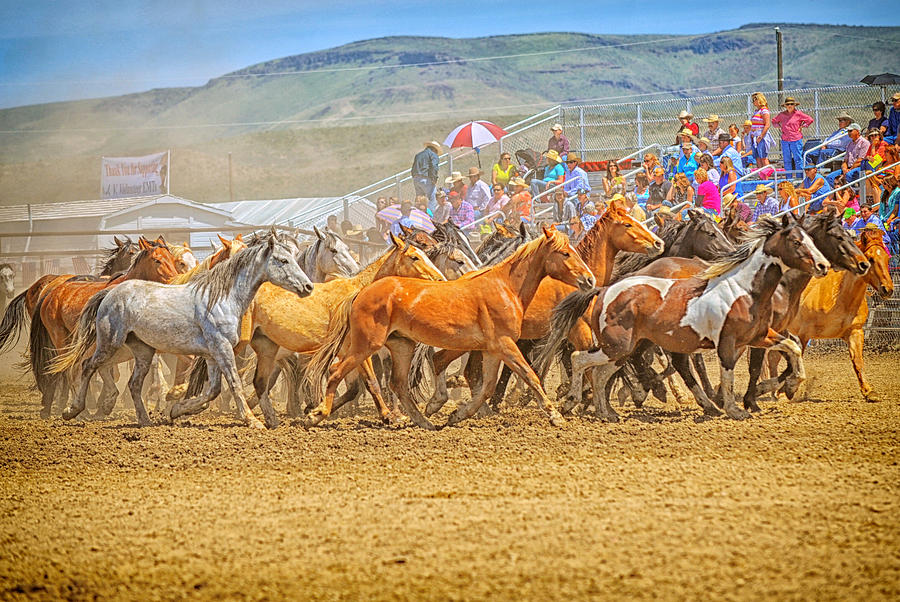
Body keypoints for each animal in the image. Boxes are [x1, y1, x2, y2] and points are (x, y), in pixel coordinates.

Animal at [28, 238, 180, 418]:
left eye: (172, 259)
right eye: (157, 260)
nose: (175, 280)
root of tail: (50, 292)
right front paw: (104, 404)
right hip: (60, 338)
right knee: (68, 369)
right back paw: (76, 410)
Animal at [51, 230, 315, 429]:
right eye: (283, 260)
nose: (308, 286)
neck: (221, 298)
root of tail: (110, 292)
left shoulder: (212, 355)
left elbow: (213, 390)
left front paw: (176, 410)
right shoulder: (222, 349)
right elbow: (234, 383)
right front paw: (252, 421)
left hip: (143, 351)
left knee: (133, 383)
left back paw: (145, 420)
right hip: (110, 343)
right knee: (87, 366)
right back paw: (72, 410)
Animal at [305, 226, 596, 430]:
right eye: (565, 253)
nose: (590, 279)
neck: (505, 286)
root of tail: (361, 292)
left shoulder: (491, 350)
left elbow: (487, 387)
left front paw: (459, 414)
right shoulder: (504, 345)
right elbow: (530, 375)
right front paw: (555, 415)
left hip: (402, 346)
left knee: (399, 384)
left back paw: (424, 422)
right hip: (366, 345)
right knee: (336, 372)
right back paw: (317, 414)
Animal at [540, 214, 830, 422]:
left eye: (813, 241)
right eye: (796, 242)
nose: (823, 266)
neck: (744, 288)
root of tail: (604, 290)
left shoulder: (760, 336)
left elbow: (792, 347)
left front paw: (791, 384)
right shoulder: (727, 343)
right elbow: (727, 375)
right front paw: (735, 409)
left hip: (624, 349)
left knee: (600, 373)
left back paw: (606, 412)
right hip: (617, 346)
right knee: (580, 360)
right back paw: (573, 401)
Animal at [784, 227, 893, 400]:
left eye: (887, 258)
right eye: (870, 259)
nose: (887, 289)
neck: (840, 297)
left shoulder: (855, 331)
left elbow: (858, 361)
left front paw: (868, 391)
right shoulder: (803, 334)